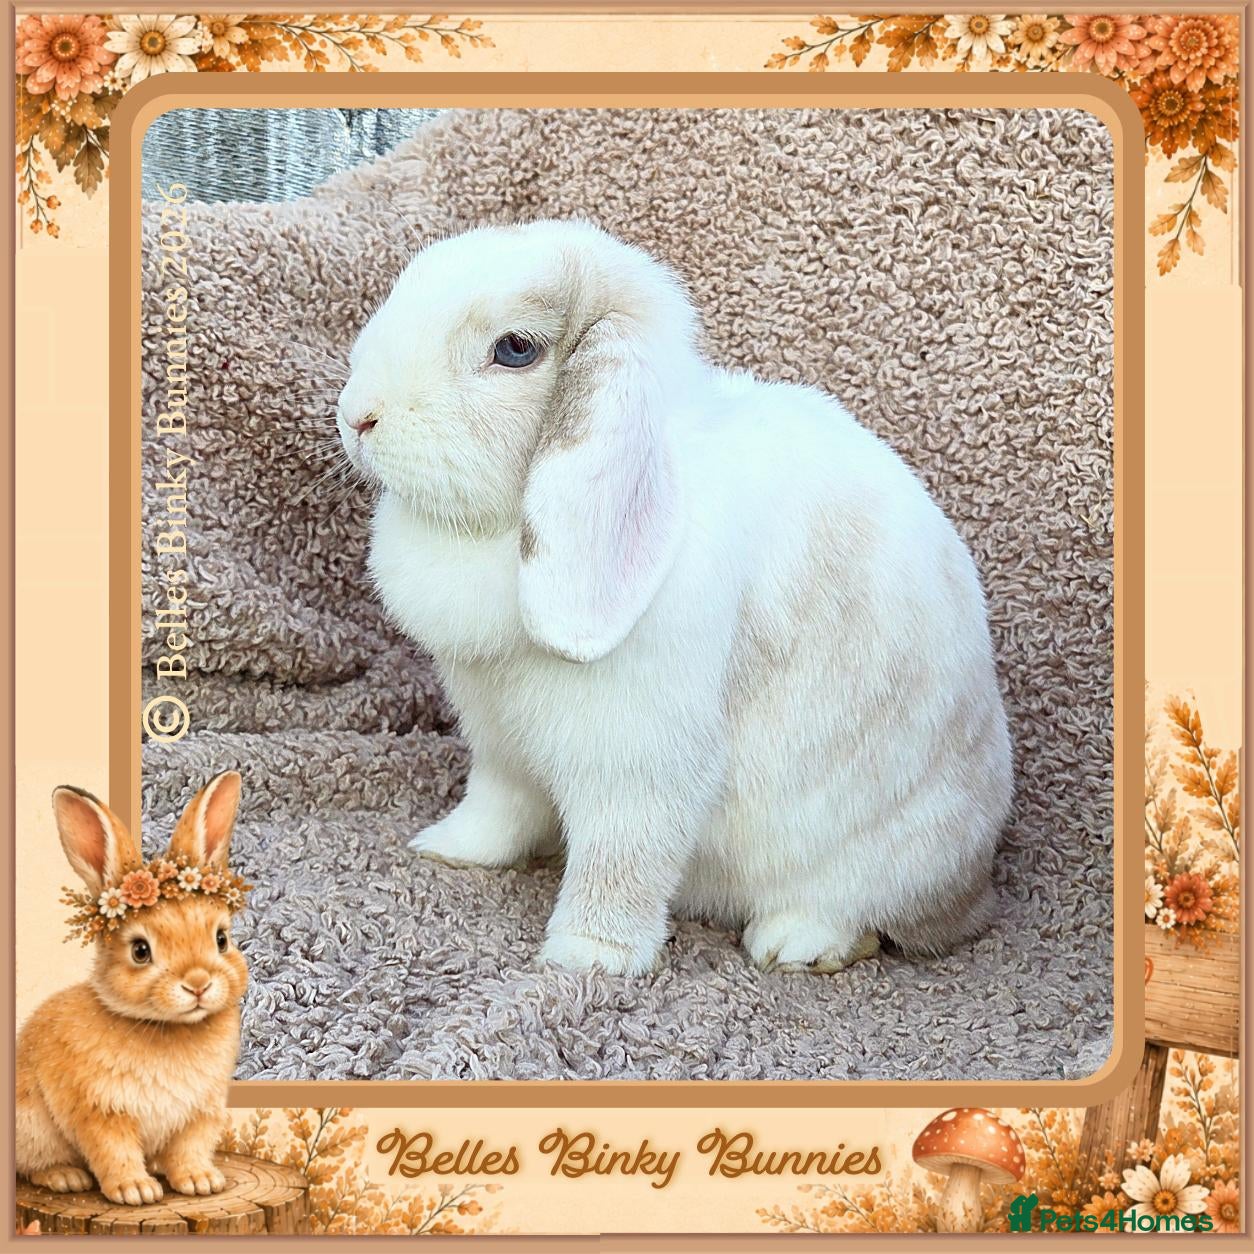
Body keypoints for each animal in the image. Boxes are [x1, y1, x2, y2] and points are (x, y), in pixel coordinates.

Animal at [16, 772, 248, 1205]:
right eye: (141, 951)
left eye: (221, 939)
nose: (198, 984)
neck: (168, 1029)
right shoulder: (101, 1112)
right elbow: (114, 1151)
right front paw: (135, 1191)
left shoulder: (200, 1113)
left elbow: (190, 1149)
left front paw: (201, 1182)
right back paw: (65, 1177)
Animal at [337, 219, 1013, 977]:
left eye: (515, 349)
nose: (357, 416)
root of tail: (976, 893)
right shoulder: (499, 743)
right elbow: (497, 807)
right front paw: (448, 849)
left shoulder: (641, 763)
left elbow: (621, 862)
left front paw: (587, 958)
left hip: (878, 857)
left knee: (863, 916)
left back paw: (795, 945)